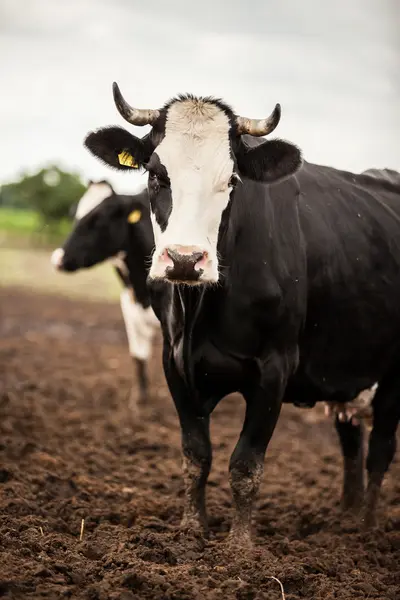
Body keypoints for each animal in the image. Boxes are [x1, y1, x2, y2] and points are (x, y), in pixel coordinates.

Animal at [51, 178, 159, 404]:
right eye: (76, 215)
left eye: (98, 219)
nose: (58, 258)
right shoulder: (129, 305)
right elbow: (139, 356)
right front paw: (139, 400)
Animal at [81, 82, 400, 548]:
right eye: (156, 174)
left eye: (231, 180)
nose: (185, 259)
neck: (201, 312)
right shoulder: (175, 363)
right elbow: (195, 456)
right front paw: (191, 529)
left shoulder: (275, 368)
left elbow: (246, 465)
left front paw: (241, 546)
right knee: (351, 441)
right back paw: (346, 516)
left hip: (393, 376)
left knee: (380, 450)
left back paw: (366, 530)